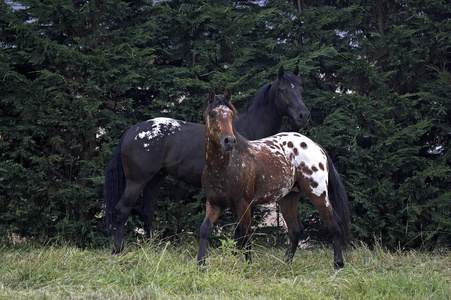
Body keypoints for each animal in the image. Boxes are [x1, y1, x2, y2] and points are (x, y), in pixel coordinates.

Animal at [105, 66, 310, 253]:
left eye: (300, 89)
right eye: (283, 90)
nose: (304, 115)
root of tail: (132, 131)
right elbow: (240, 229)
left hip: (156, 178)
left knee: (146, 211)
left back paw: (151, 250)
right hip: (137, 180)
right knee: (122, 210)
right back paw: (118, 250)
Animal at [200, 89, 352, 270]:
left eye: (230, 114)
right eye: (212, 114)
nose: (229, 141)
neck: (225, 167)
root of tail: (316, 146)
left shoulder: (244, 205)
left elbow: (245, 235)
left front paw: (247, 267)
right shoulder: (214, 205)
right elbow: (204, 230)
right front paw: (200, 265)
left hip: (318, 194)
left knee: (334, 224)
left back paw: (338, 264)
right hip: (288, 198)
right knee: (295, 229)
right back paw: (286, 264)